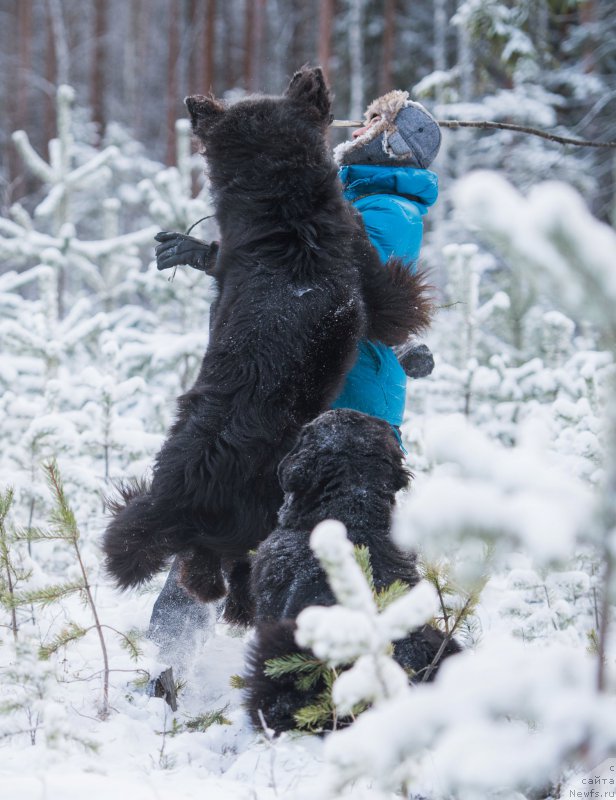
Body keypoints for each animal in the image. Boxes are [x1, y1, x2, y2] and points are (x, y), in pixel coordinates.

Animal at [102, 67, 434, 624]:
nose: (309, 71)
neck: (286, 214)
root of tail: (178, 496)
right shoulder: (380, 290)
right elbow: (401, 296)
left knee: (204, 572)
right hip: (264, 514)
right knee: (223, 576)